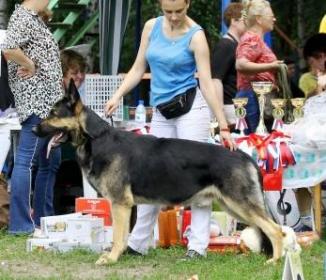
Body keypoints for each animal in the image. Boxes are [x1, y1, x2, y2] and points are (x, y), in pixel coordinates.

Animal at [33, 82, 284, 264]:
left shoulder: (120, 204)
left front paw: (111, 259)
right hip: (233, 207)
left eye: (53, 114)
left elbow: (117, 236)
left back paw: (275, 261)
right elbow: (122, 236)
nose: (34, 129)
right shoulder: (122, 206)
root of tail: (245, 156)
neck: (96, 138)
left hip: (240, 205)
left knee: (277, 230)